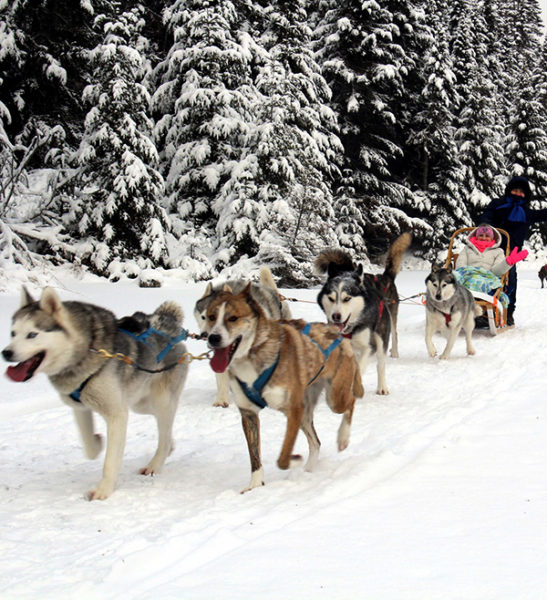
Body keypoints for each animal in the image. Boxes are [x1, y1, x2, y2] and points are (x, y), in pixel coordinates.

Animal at [2, 288, 188, 500]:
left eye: (32, 334)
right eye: (13, 333)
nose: (6, 352)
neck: (85, 350)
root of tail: (166, 321)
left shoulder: (117, 415)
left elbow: (110, 461)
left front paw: (103, 491)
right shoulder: (80, 407)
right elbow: (89, 446)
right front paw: (97, 443)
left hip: (160, 401)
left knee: (163, 435)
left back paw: (154, 464)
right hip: (140, 404)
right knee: (165, 430)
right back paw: (169, 446)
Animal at [203, 284, 362, 492]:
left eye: (233, 318)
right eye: (211, 317)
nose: (213, 337)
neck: (253, 355)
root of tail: (337, 333)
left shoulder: (293, 410)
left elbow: (283, 457)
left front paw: (294, 460)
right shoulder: (248, 413)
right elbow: (255, 457)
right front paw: (255, 485)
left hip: (335, 398)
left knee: (350, 402)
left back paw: (343, 437)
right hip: (306, 412)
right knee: (316, 442)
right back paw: (309, 469)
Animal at [312, 232, 412, 396]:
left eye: (347, 298)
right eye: (331, 298)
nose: (336, 316)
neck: (352, 328)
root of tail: (384, 278)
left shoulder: (370, 346)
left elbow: (359, 365)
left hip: (382, 335)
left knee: (381, 363)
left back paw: (382, 386)